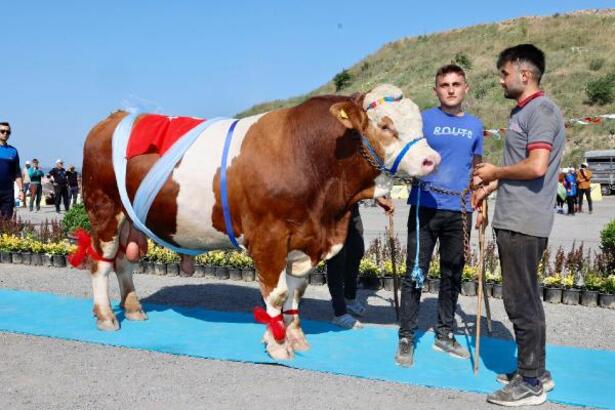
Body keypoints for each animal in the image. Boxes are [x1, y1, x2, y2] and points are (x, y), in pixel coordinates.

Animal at [80, 84, 438, 358]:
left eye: (420, 123)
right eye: (385, 126)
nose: (431, 159)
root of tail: (114, 118)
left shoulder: (304, 240)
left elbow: (296, 292)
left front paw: (296, 336)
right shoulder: (269, 237)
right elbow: (275, 294)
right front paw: (277, 344)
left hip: (130, 220)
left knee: (124, 263)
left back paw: (133, 309)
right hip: (105, 210)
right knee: (101, 263)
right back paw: (106, 317)